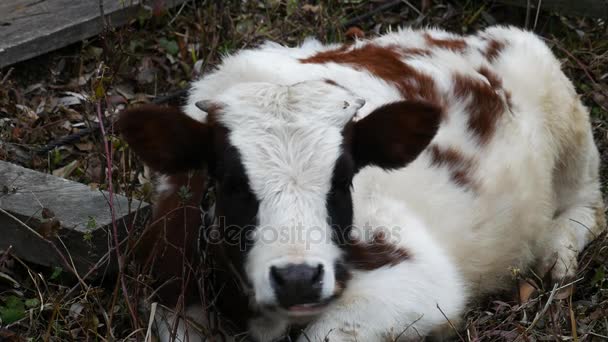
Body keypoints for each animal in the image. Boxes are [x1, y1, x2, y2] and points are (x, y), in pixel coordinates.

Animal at [117, 25, 604, 340]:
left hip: (565, 117)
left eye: (342, 177)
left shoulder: (418, 282)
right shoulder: (167, 292)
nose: (298, 277)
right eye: (231, 182)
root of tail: (468, 36)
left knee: (590, 205)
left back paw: (557, 254)